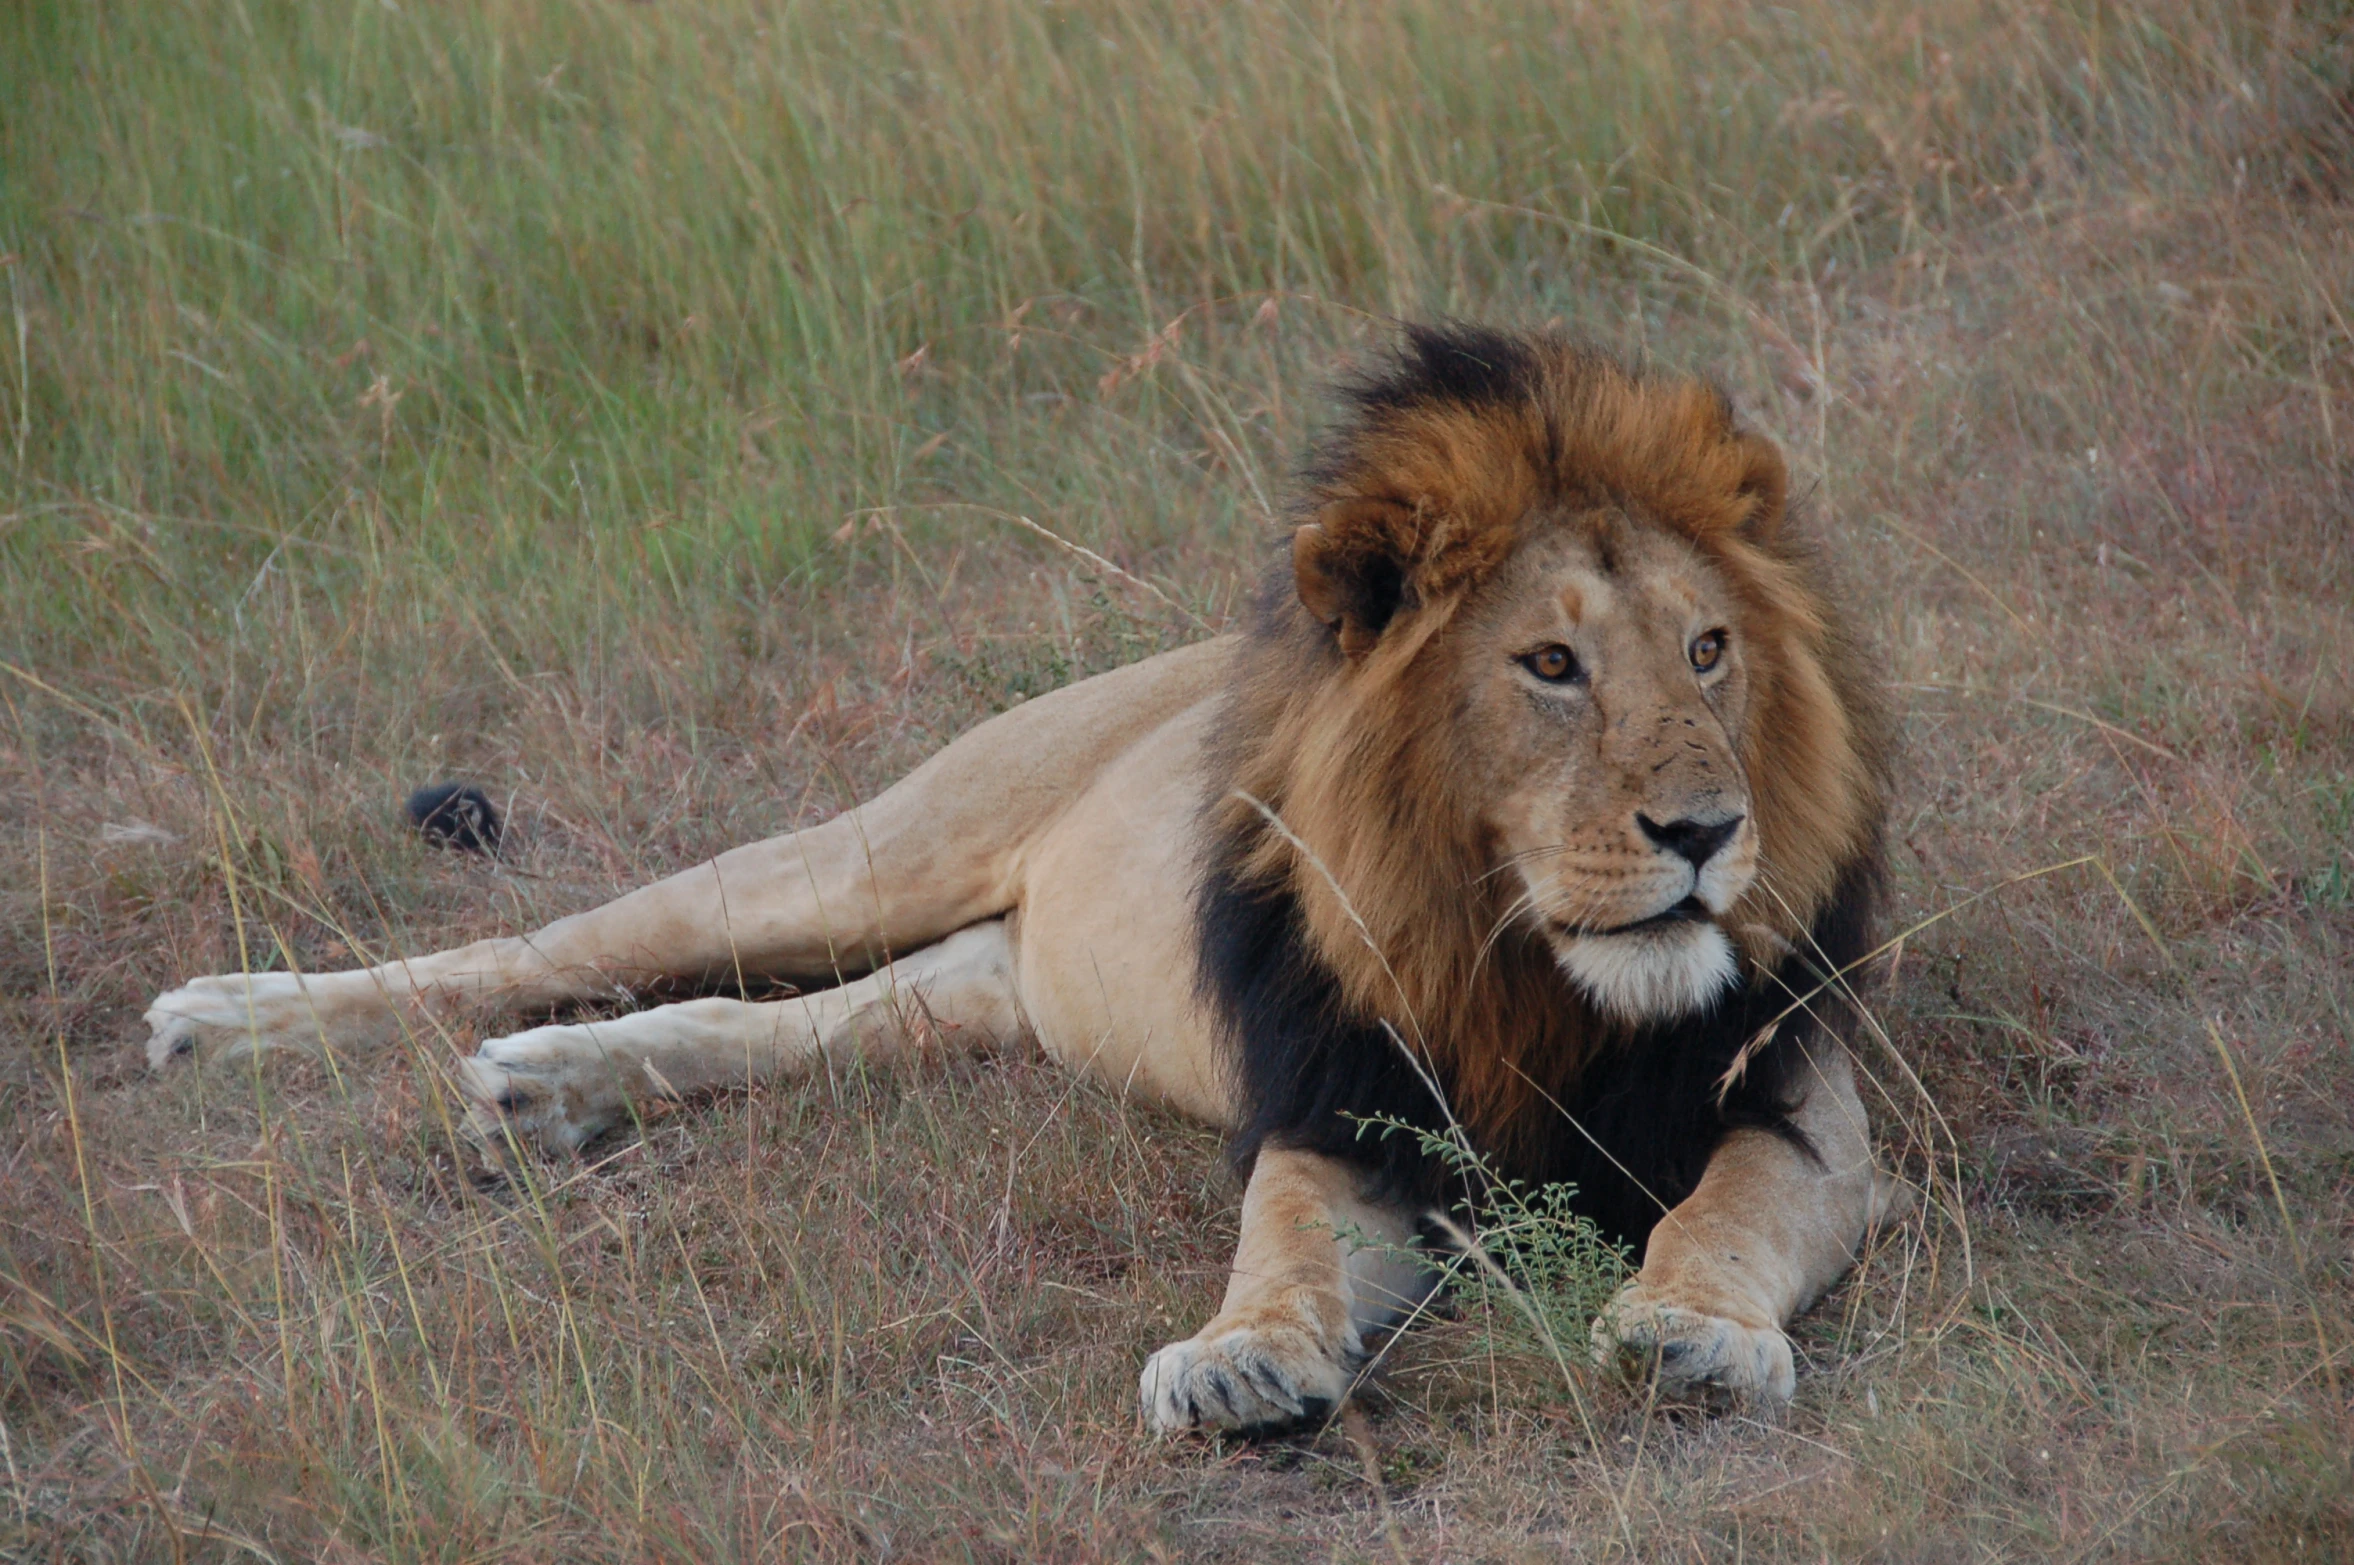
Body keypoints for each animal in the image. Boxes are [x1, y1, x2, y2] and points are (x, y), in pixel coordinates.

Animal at [147, 327, 1902, 1430]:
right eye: (1548, 665)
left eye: (1708, 650)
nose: (1706, 831)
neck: (1528, 965)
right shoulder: (1331, 1104)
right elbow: (1278, 1244)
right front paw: (1237, 1362)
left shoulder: (1798, 1099)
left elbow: (1725, 1212)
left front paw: (1689, 1332)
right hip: (864, 852)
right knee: (551, 944)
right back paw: (228, 1022)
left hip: (982, 989)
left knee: (761, 1026)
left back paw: (545, 1096)